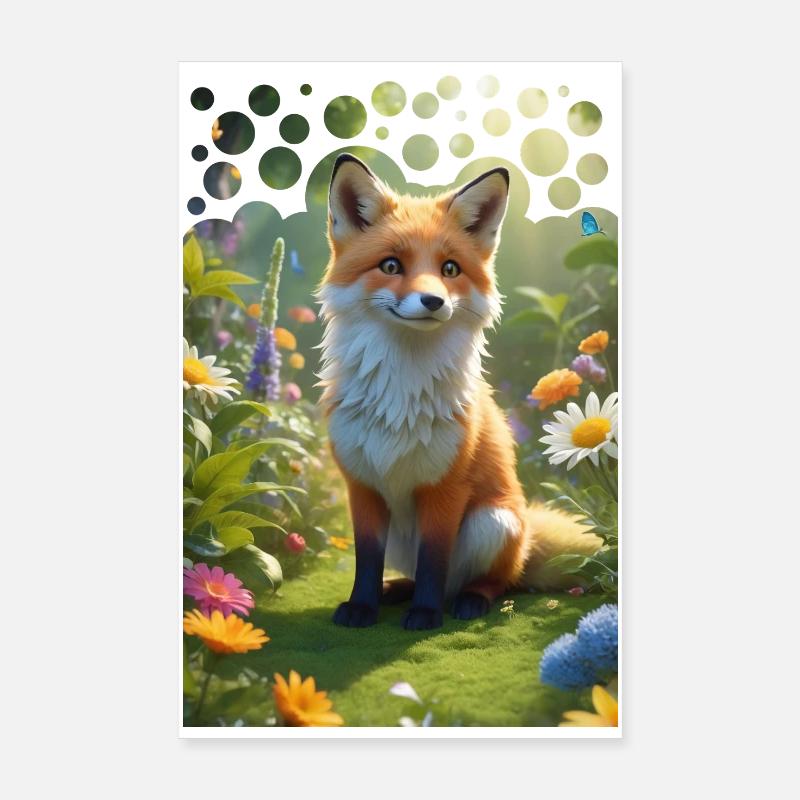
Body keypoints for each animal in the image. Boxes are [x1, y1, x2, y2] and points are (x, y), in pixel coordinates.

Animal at [317, 154, 601, 630]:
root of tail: (528, 534)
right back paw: (398, 590)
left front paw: (426, 615)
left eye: (449, 269)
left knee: (494, 580)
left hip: (492, 522)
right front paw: (362, 606)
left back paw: (468, 600)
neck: (401, 394)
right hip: (406, 535)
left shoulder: (446, 489)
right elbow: (367, 561)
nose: (433, 301)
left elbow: (435, 559)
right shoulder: (363, 486)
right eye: (391, 265)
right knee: (424, 573)